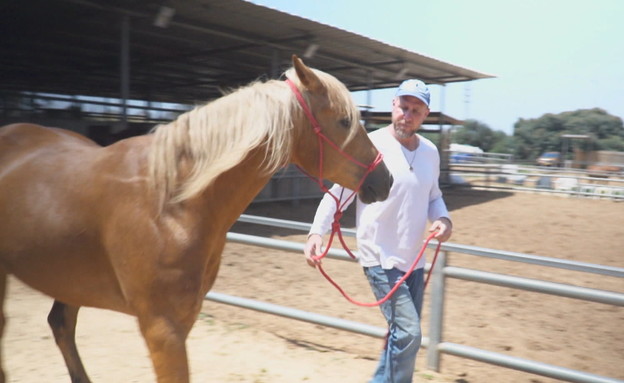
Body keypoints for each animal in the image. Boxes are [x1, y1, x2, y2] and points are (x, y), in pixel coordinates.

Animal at [0, 54, 392, 383]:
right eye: (344, 120)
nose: (385, 179)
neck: (171, 204)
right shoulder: (162, 329)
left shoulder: (184, 320)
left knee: (61, 325)